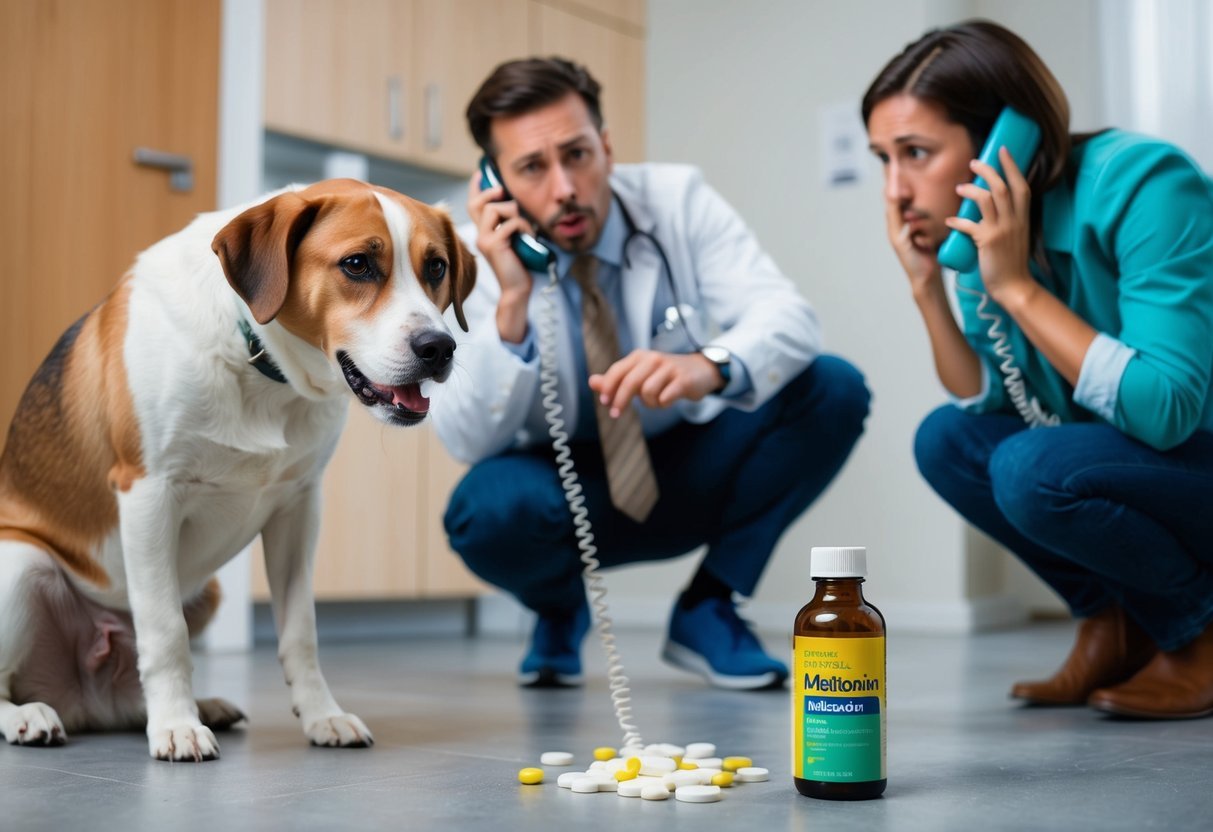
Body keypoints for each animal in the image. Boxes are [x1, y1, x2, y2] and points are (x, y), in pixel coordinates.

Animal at [0, 180, 473, 761]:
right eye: (358, 264)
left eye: (436, 268)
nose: (439, 347)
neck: (257, 356)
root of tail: (82, 701)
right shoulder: (148, 494)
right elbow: (166, 633)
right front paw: (176, 726)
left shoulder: (299, 506)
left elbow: (301, 632)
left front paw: (323, 716)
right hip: (21, 566)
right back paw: (31, 715)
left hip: (208, 591)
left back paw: (197, 708)